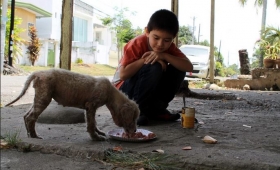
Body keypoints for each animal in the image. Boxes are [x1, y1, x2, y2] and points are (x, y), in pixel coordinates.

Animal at [4, 68, 139, 141]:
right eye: (133, 118)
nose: (135, 131)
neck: (111, 92)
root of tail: (39, 73)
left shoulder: (89, 108)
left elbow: (94, 122)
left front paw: (99, 132)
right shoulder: (91, 106)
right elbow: (91, 124)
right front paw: (95, 137)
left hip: (39, 98)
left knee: (26, 115)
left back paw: (29, 134)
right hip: (44, 98)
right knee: (31, 117)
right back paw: (34, 136)